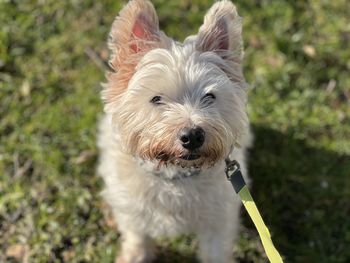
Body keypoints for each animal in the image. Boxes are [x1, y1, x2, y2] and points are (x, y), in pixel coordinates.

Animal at [98, 1, 252, 262]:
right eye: (156, 99)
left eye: (209, 96)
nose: (193, 136)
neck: (175, 176)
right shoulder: (131, 210)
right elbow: (137, 236)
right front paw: (134, 255)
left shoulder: (218, 220)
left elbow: (215, 251)